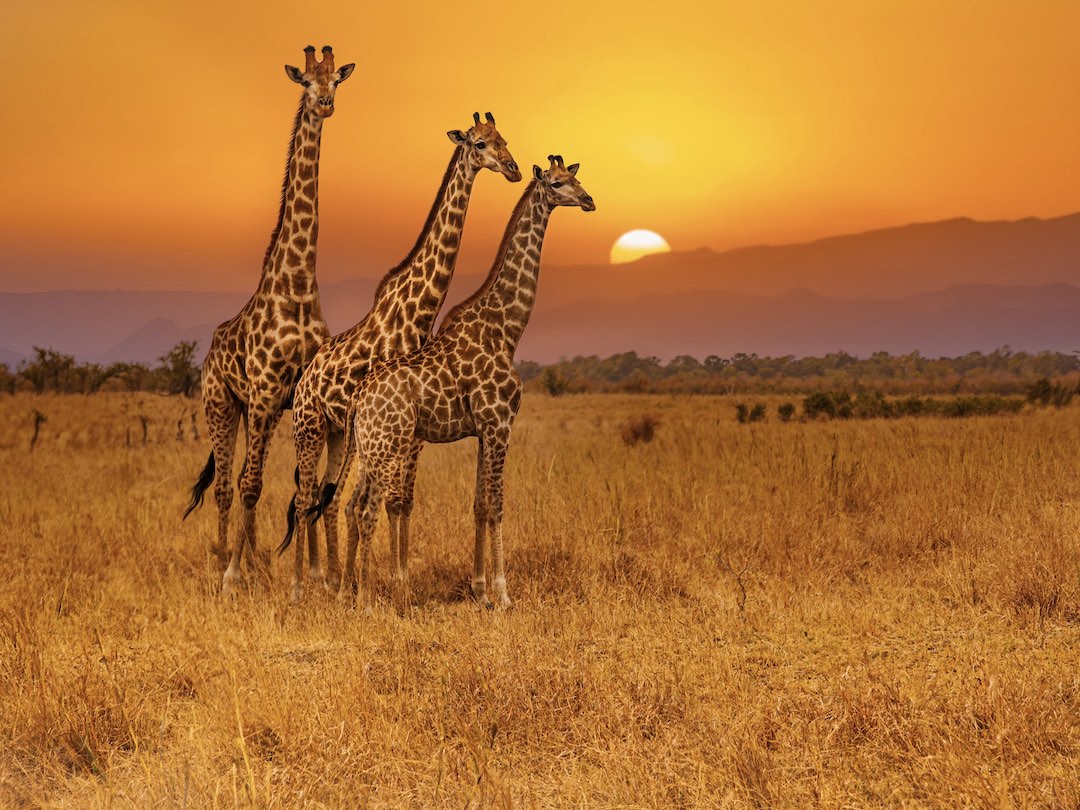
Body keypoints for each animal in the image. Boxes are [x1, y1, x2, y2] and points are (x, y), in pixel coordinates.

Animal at [183, 46, 355, 595]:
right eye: (305, 81)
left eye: (336, 81)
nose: (324, 104)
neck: (297, 285)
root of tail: (210, 350)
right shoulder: (261, 392)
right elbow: (253, 484)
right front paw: (233, 575)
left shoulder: (296, 395)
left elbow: (307, 486)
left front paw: (316, 574)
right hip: (222, 404)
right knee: (226, 484)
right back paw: (224, 561)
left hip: (260, 411)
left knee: (241, 480)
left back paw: (256, 559)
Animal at [279, 113, 521, 600]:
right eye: (480, 143)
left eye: (504, 139)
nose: (512, 168)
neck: (416, 312)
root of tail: (305, 378)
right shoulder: (400, 425)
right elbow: (387, 502)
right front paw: (385, 584)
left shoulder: (415, 428)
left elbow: (403, 502)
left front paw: (394, 578)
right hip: (309, 427)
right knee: (307, 496)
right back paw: (302, 585)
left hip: (339, 433)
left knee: (325, 499)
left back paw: (329, 579)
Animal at [317, 155, 594, 610]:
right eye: (556, 183)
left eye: (576, 177)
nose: (589, 200)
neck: (506, 329)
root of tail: (359, 397)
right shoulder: (500, 423)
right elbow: (497, 505)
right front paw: (503, 594)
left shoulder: (483, 430)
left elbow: (479, 504)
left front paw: (480, 589)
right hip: (387, 445)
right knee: (364, 507)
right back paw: (366, 597)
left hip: (370, 446)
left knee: (352, 504)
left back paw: (348, 592)